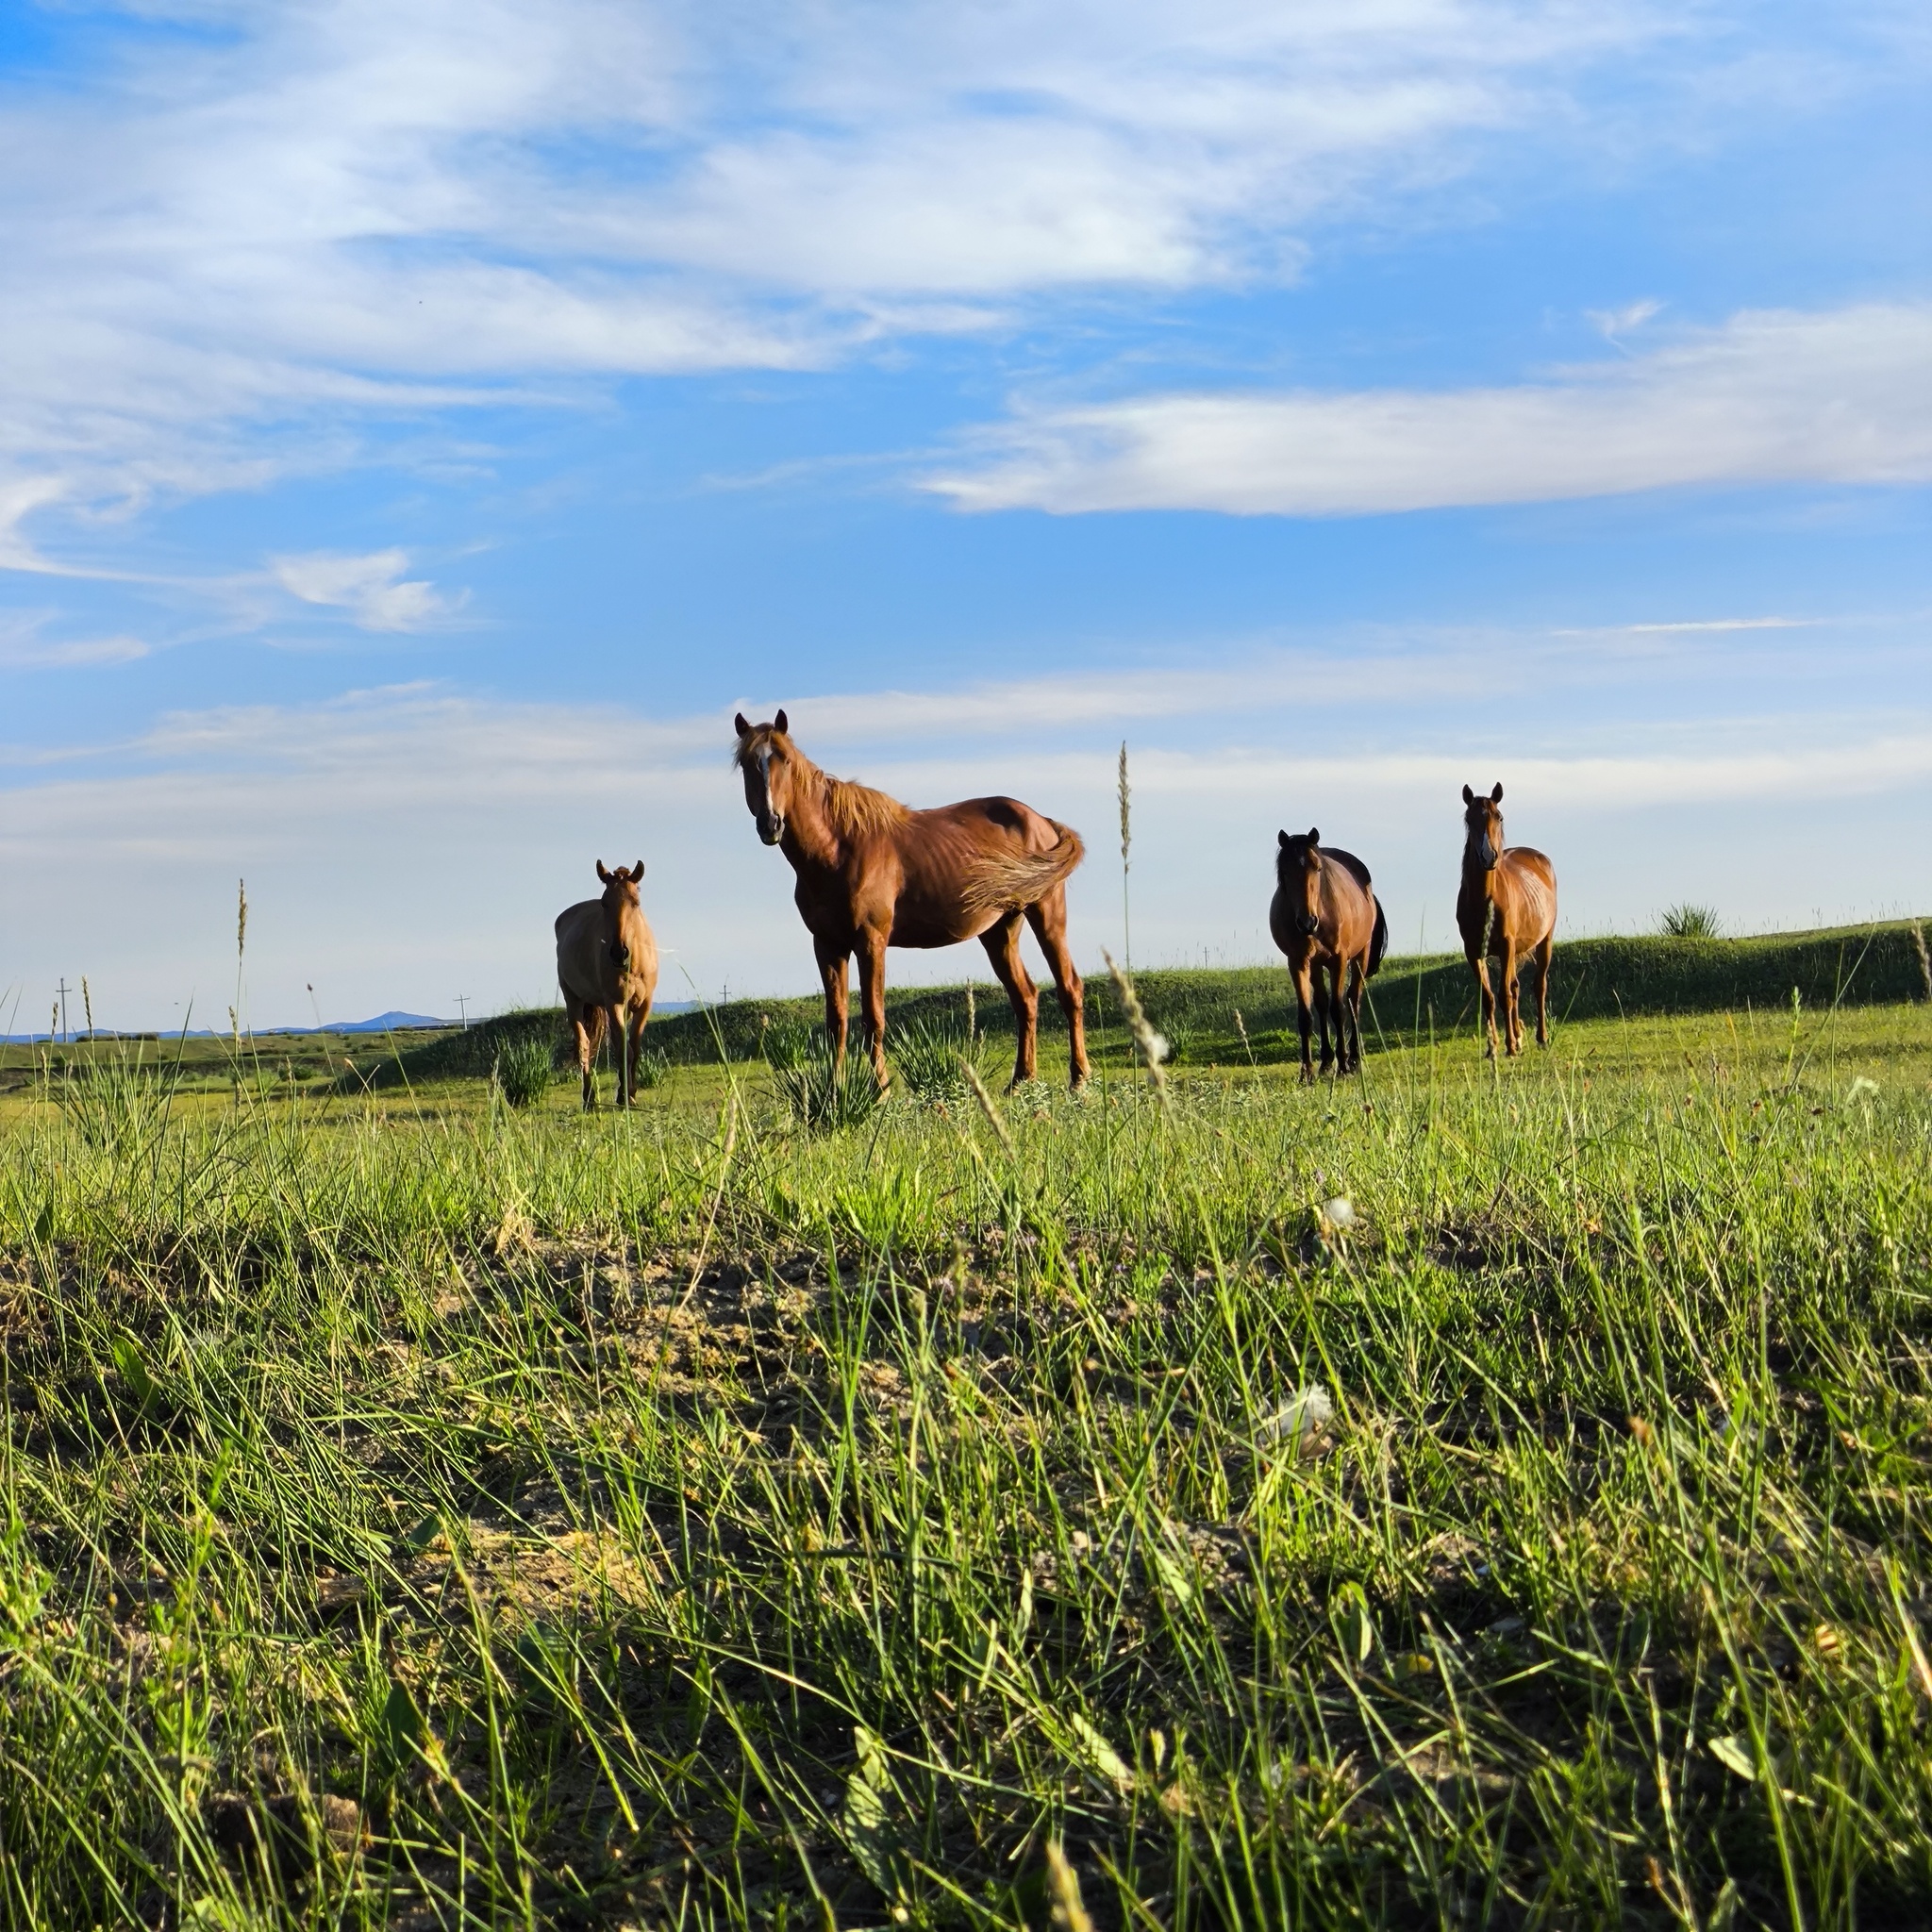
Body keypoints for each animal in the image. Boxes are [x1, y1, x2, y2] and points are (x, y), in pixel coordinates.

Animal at [552, 865, 657, 1120]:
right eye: (604, 903)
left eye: (635, 902)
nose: (619, 952)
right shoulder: (614, 1004)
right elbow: (624, 1050)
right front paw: (625, 1096)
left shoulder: (644, 1005)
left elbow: (634, 1047)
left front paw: (630, 1094)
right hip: (574, 1002)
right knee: (584, 1045)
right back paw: (589, 1098)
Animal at [730, 714, 1090, 1105]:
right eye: (748, 764)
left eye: (785, 760)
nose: (771, 823)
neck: (838, 847)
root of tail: (1042, 822)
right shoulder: (827, 945)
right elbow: (836, 1021)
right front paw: (834, 1092)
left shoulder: (871, 940)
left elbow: (873, 1017)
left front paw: (881, 1091)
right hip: (1000, 931)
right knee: (1026, 998)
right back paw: (1021, 1081)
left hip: (1047, 917)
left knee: (1069, 988)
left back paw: (1079, 1080)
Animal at [1267, 823, 1391, 1081]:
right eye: (1285, 872)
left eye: (1317, 868)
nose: (1307, 922)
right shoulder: (1298, 962)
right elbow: (1306, 1015)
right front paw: (1306, 1071)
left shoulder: (1339, 960)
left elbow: (1338, 1009)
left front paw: (1343, 1065)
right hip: (1315, 964)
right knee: (1322, 1004)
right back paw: (1325, 1062)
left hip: (1360, 957)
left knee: (1353, 1000)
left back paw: (1353, 1059)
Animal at [1453, 784, 1560, 1058]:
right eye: (1469, 819)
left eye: (1498, 817)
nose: (1489, 856)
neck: (1485, 899)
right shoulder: (1474, 952)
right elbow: (1489, 998)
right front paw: (1493, 1046)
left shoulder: (1507, 946)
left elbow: (1504, 995)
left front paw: (1510, 1046)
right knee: (1515, 987)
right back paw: (1520, 1037)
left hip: (1544, 942)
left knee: (1538, 986)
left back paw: (1541, 1037)